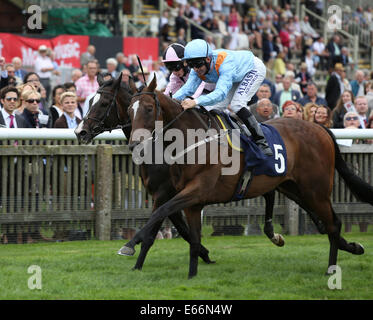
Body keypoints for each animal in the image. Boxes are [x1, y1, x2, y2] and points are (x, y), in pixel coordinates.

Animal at [75, 74, 215, 270]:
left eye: (104, 103)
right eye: (88, 101)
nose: (80, 131)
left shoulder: (164, 192)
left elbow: (153, 226)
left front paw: (131, 246)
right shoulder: (167, 194)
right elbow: (181, 228)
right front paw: (205, 253)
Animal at [125, 75, 372, 278]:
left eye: (148, 108)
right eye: (129, 110)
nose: (135, 144)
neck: (192, 140)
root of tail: (321, 129)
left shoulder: (196, 190)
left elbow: (161, 212)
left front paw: (130, 244)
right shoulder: (191, 201)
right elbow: (192, 238)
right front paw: (191, 275)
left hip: (316, 190)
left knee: (333, 224)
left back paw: (331, 268)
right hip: (293, 188)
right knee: (327, 223)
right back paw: (350, 249)